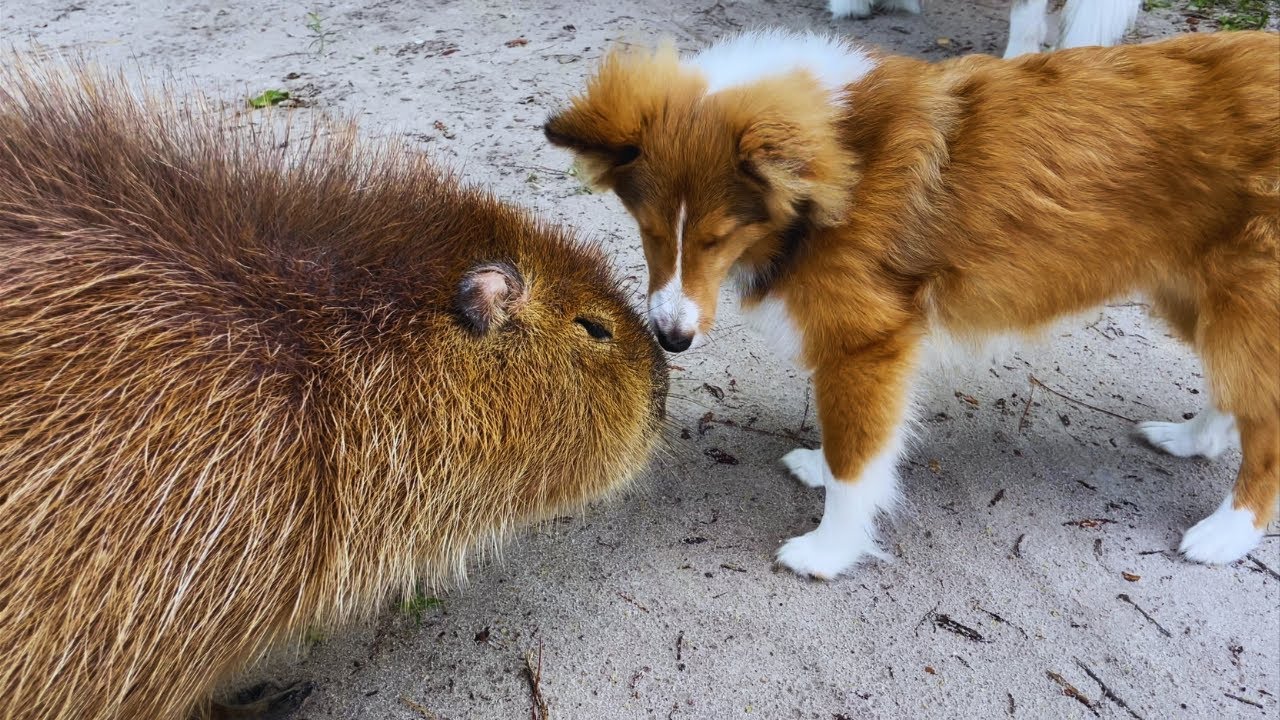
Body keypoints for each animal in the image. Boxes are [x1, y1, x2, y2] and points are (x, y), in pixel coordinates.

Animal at [542, 29, 1280, 576]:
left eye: (718, 237)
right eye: (648, 230)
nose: (671, 337)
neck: (842, 162)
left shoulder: (866, 345)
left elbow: (858, 456)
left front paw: (829, 549)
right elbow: (852, 440)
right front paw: (819, 468)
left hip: (1242, 305)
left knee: (1265, 423)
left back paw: (1228, 531)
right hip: (1193, 294)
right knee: (1233, 393)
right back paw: (1192, 440)